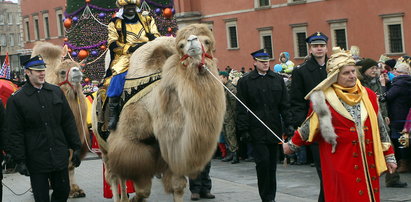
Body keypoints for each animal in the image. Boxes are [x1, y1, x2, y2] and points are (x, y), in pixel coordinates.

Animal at [93, 23, 225, 200]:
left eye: (207, 41)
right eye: (181, 45)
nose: (192, 41)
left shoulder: (171, 145)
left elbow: (177, 187)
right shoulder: (131, 144)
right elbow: (143, 190)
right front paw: (135, 198)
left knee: (120, 177)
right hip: (103, 147)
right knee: (113, 176)